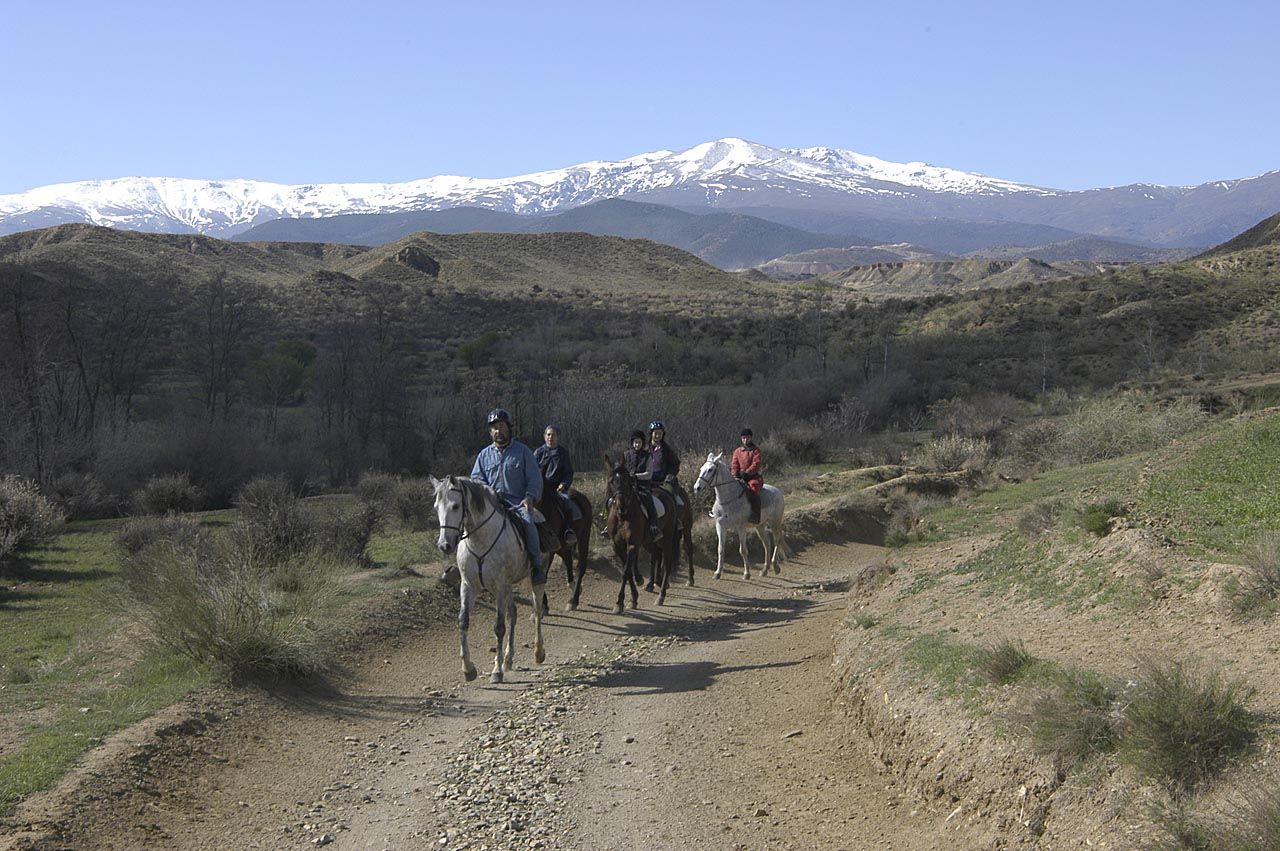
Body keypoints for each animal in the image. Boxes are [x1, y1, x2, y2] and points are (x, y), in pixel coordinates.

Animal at [432, 473, 547, 680]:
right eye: (437, 507)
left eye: (455, 506)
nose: (445, 545)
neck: (480, 541)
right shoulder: (469, 585)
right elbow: (463, 621)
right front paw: (468, 669)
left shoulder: (500, 586)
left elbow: (499, 627)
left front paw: (496, 671)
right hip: (508, 587)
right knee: (513, 613)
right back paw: (509, 659)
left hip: (534, 576)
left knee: (537, 608)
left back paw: (538, 652)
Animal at [696, 450, 783, 578]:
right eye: (702, 468)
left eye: (710, 469)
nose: (696, 487)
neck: (729, 499)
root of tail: (778, 491)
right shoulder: (720, 526)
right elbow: (720, 549)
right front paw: (718, 572)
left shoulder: (740, 527)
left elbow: (743, 550)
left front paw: (746, 573)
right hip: (760, 525)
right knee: (766, 543)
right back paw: (765, 570)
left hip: (774, 523)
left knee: (777, 540)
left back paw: (776, 567)